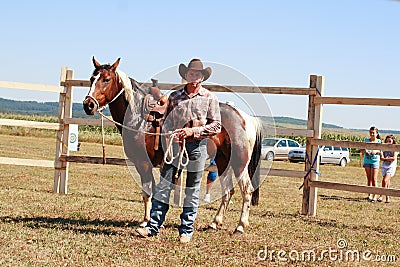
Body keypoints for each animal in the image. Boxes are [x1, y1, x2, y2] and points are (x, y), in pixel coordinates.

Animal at [82, 57, 262, 234]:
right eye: (92, 78)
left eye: (106, 79)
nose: (88, 105)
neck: (140, 119)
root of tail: (245, 118)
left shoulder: (143, 163)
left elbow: (148, 191)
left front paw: (146, 222)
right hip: (223, 161)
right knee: (228, 191)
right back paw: (214, 223)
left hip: (239, 163)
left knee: (247, 190)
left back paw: (240, 226)